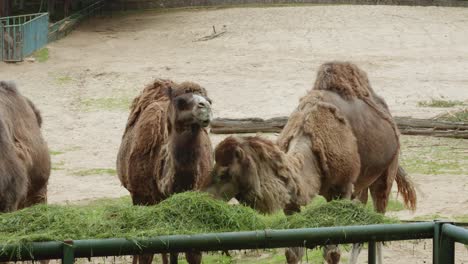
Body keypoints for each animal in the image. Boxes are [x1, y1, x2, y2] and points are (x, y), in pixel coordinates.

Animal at [117, 79, 214, 264]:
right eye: (180, 101)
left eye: (210, 100)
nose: (205, 107)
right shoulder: (143, 199)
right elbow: (146, 251)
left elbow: (191, 251)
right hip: (137, 198)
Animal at [205, 62, 416, 264]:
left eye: (224, 172)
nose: (206, 195)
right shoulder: (291, 201)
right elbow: (292, 252)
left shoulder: (341, 190)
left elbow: (332, 253)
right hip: (362, 183)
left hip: (387, 171)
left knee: (379, 219)